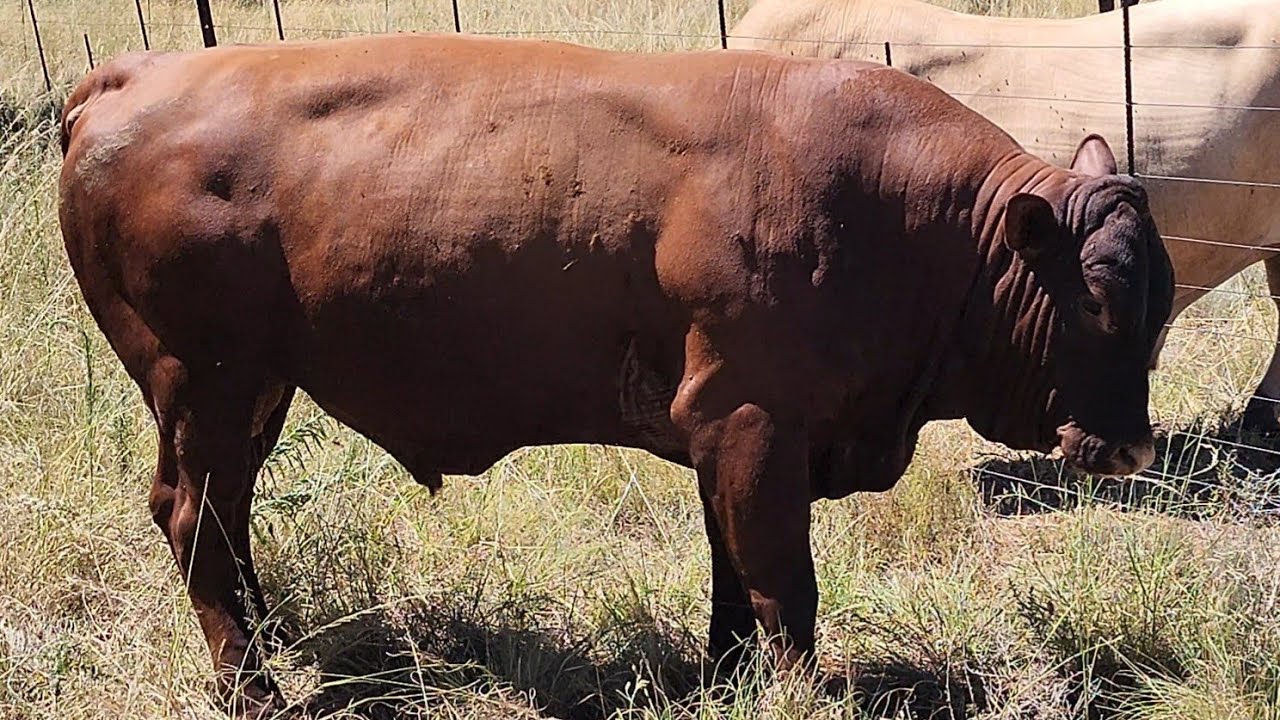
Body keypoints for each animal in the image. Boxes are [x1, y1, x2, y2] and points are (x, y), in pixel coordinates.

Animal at [58, 34, 1172, 716]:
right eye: (1097, 299)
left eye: (1162, 301)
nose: (1127, 445)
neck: (919, 223)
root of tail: (130, 78)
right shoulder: (756, 427)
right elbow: (781, 584)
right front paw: (793, 690)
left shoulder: (726, 440)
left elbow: (731, 574)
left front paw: (722, 677)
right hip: (203, 385)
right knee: (194, 515)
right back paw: (253, 685)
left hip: (253, 395)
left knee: (225, 515)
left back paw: (277, 631)